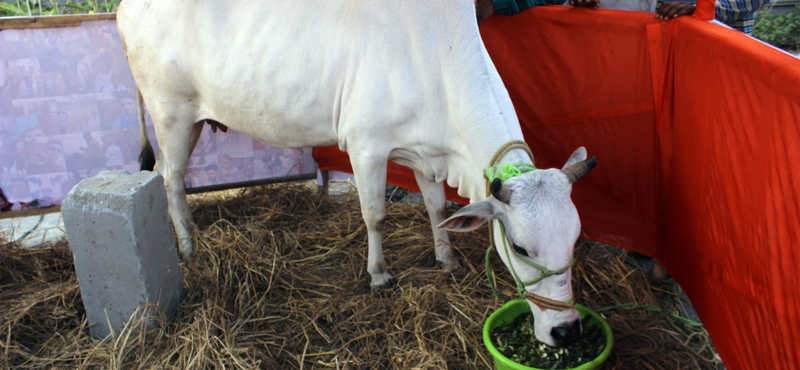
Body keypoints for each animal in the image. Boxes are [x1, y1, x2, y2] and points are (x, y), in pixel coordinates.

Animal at [117, 0, 592, 346]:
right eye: (520, 248)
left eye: (574, 241)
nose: (566, 330)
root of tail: (124, 7)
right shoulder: (366, 147)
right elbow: (375, 216)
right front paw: (379, 275)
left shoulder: (427, 154)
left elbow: (438, 209)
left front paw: (447, 259)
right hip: (171, 115)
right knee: (170, 179)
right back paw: (188, 247)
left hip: (190, 121)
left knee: (170, 176)